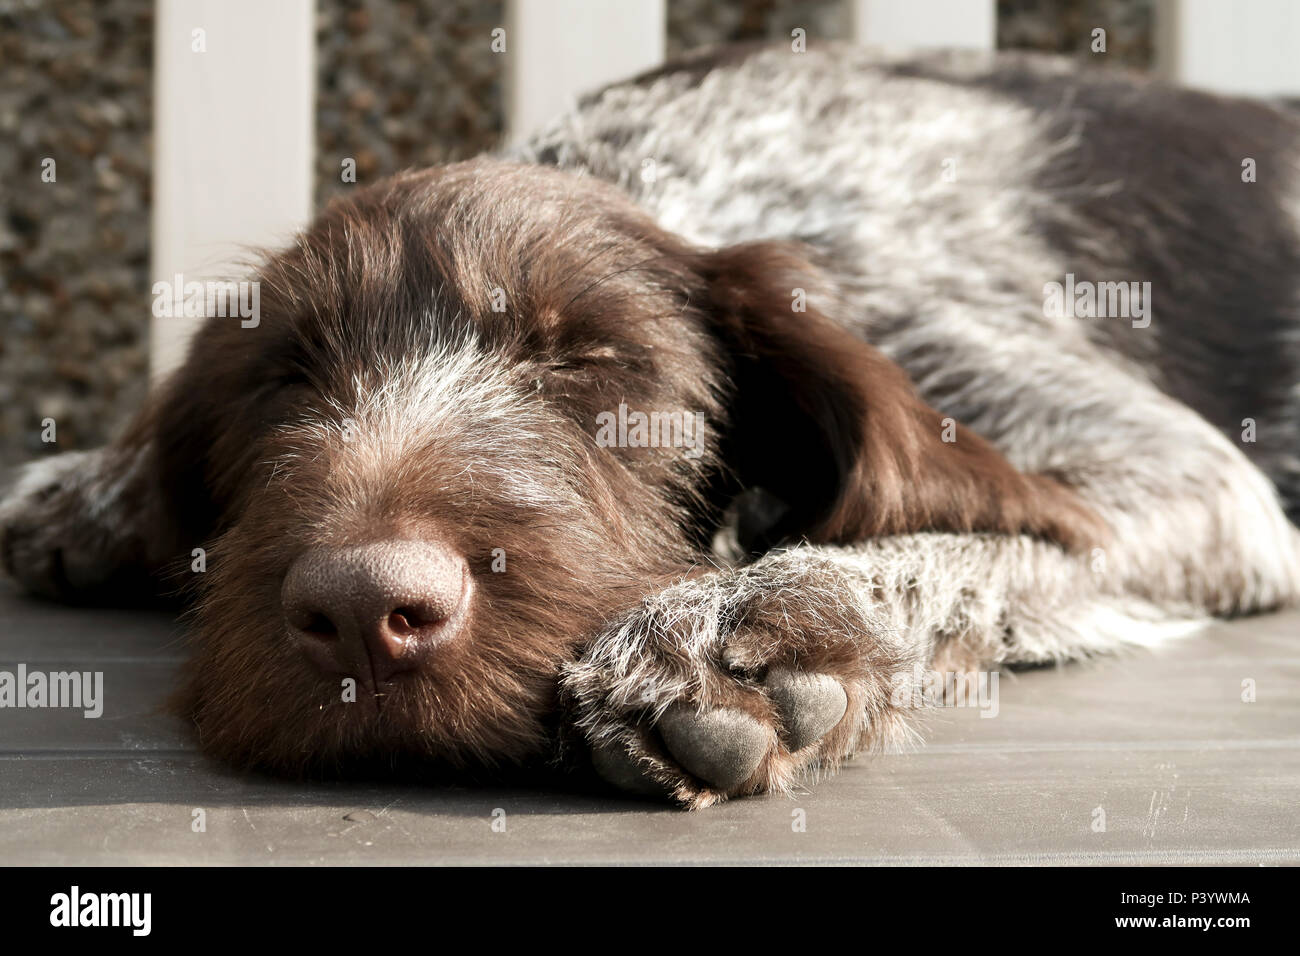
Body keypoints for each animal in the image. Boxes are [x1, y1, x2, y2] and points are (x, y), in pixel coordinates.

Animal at [7, 44, 1300, 806]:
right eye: (286, 379)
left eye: (598, 363)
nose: (367, 610)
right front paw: (93, 489)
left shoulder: (1186, 480)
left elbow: (949, 540)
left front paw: (753, 627)